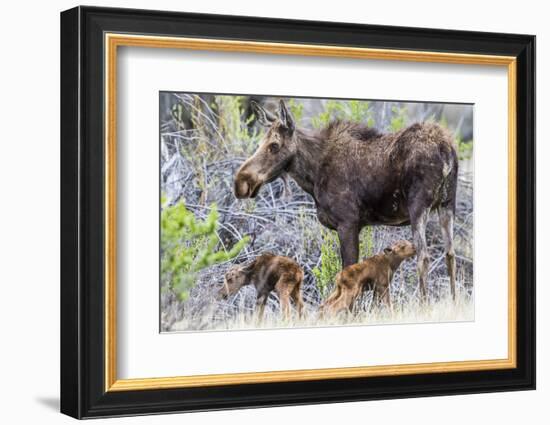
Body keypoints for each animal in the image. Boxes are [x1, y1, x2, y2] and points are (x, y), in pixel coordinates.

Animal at [234, 99, 462, 298]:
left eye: (274, 145)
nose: (241, 182)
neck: (312, 174)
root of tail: (446, 149)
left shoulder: (348, 223)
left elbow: (348, 272)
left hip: (419, 206)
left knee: (424, 257)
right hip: (447, 203)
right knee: (450, 254)